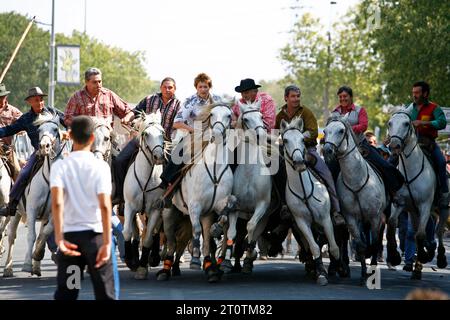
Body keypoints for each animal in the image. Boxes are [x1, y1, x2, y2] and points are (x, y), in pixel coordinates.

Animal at [122, 111, 166, 278]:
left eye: (162, 132)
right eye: (146, 134)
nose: (159, 157)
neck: (145, 177)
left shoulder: (155, 209)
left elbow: (147, 238)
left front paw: (142, 267)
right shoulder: (129, 206)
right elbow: (127, 232)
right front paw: (131, 261)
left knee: (154, 231)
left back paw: (152, 258)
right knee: (136, 231)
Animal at [158, 100, 236, 282]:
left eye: (229, 115)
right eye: (212, 114)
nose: (217, 134)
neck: (214, 170)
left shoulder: (215, 206)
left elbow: (225, 218)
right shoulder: (195, 206)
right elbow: (197, 231)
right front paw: (194, 259)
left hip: (200, 216)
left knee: (201, 240)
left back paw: (207, 267)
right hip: (169, 213)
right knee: (171, 243)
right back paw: (165, 270)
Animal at [280, 117, 340, 284]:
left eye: (302, 139)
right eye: (285, 140)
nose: (300, 163)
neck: (304, 190)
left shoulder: (326, 219)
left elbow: (334, 247)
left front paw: (335, 268)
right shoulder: (302, 223)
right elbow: (314, 247)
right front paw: (321, 273)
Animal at [324, 115, 386, 284]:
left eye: (341, 130)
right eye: (325, 131)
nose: (326, 150)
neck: (356, 181)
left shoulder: (375, 217)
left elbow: (374, 243)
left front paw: (371, 273)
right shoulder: (351, 218)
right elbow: (360, 245)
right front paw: (364, 274)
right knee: (344, 238)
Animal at [386, 109, 446, 278]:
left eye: (406, 123)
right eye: (389, 123)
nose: (394, 145)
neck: (410, 171)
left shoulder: (425, 205)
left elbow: (420, 234)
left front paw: (422, 260)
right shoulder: (399, 203)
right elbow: (392, 223)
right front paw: (394, 256)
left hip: (442, 208)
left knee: (438, 231)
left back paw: (439, 258)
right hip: (414, 211)